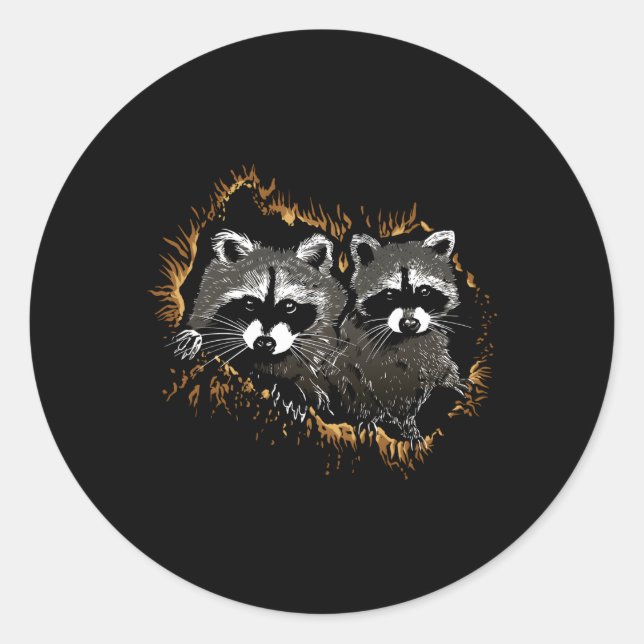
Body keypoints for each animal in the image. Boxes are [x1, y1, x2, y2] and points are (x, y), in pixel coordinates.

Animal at [326, 230, 469, 446]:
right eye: (389, 294)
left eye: (424, 291)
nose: (410, 323)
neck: (406, 337)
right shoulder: (364, 352)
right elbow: (373, 382)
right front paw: (398, 422)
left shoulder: (431, 344)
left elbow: (434, 363)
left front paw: (449, 378)